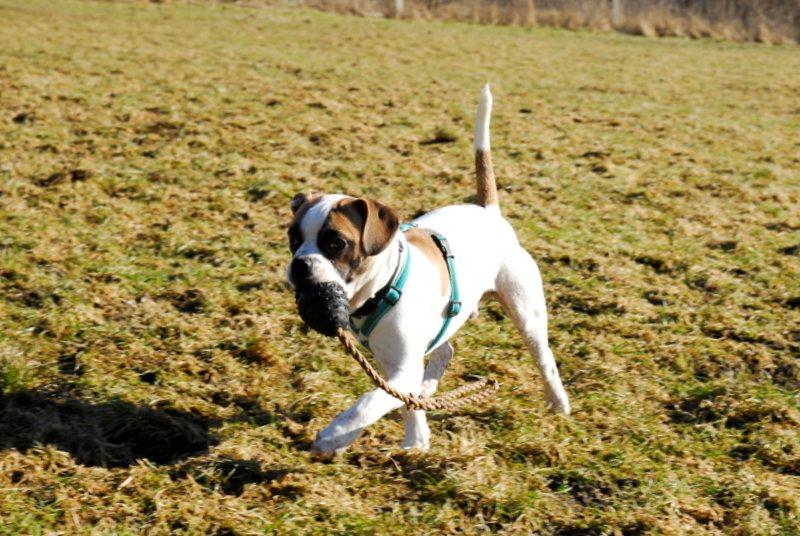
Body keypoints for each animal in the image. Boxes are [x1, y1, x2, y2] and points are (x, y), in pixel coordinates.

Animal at [288, 86, 568, 454]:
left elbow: (368, 402)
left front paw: (337, 432)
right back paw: (427, 389)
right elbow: (397, 399)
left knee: (544, 358)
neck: (383, 288)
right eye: (293, 238)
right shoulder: (392, 363)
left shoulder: (401, 368)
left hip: (526, 313)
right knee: (445, 349)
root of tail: (488, 211)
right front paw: (416, 440)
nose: (300, 265)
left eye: (336, 243)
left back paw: (558, 403)